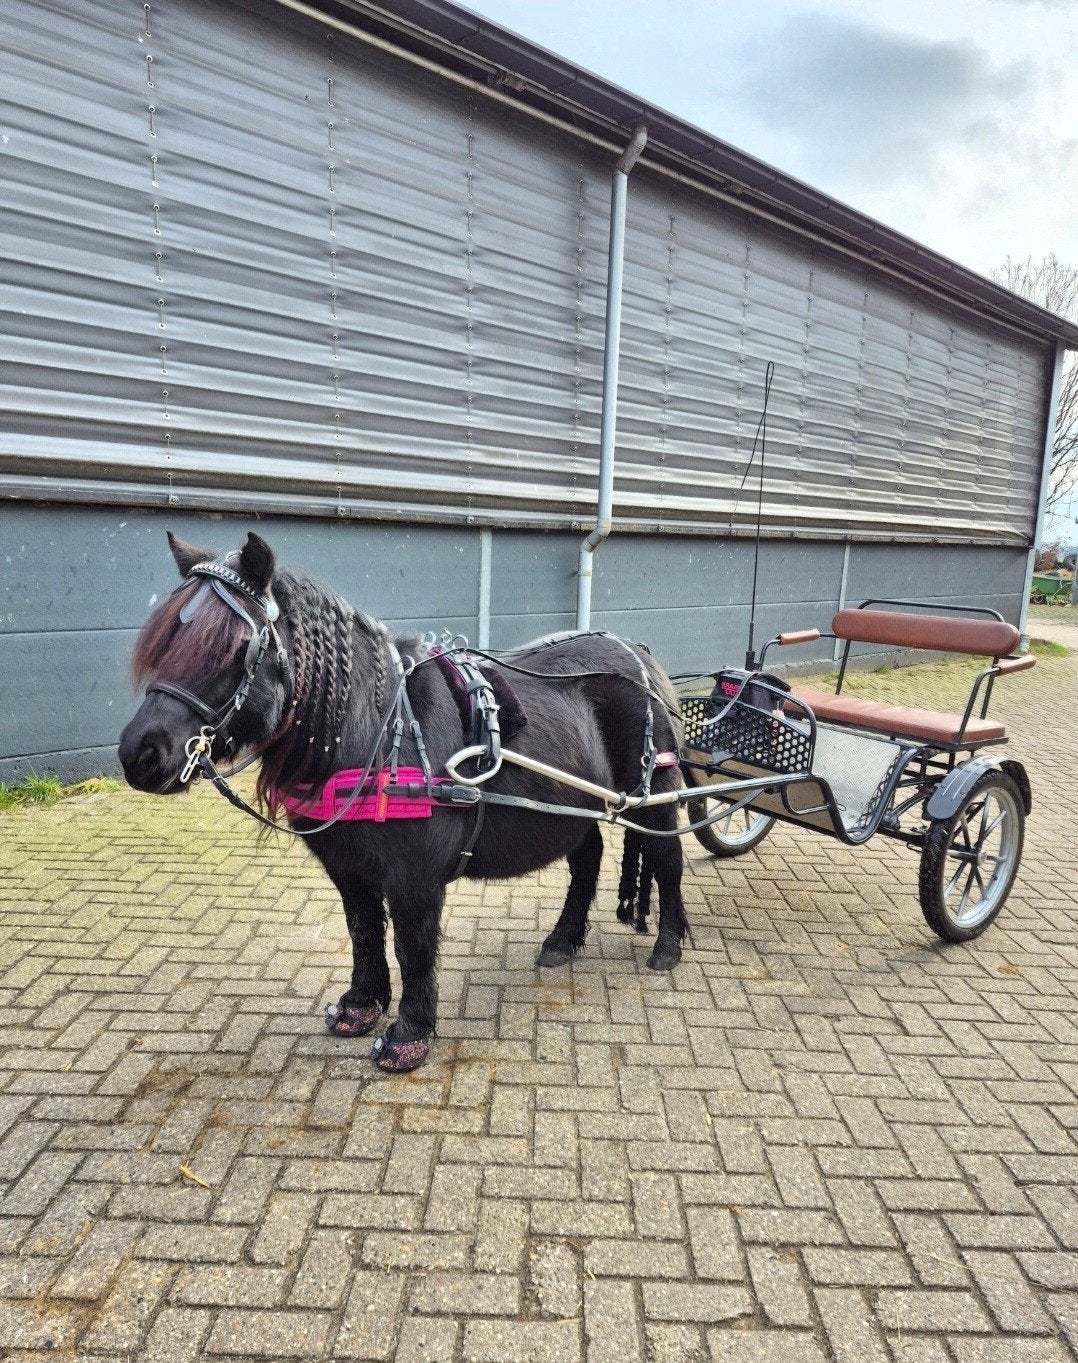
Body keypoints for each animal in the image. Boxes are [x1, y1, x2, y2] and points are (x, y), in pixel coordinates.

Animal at [118, 531, 688, 1071]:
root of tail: (636, 651)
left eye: (238, 647)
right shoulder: (349, 869)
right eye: (165, 641)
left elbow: (412, 946)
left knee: (667, 858)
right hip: (573, 804)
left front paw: (408, 1037)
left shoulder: (415, 877)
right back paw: (563, 940)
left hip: (655, 790)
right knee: (587, 856)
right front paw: (359, 1007)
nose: (139, 754)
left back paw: (668, 944)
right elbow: (364, 931)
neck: (372, 729)